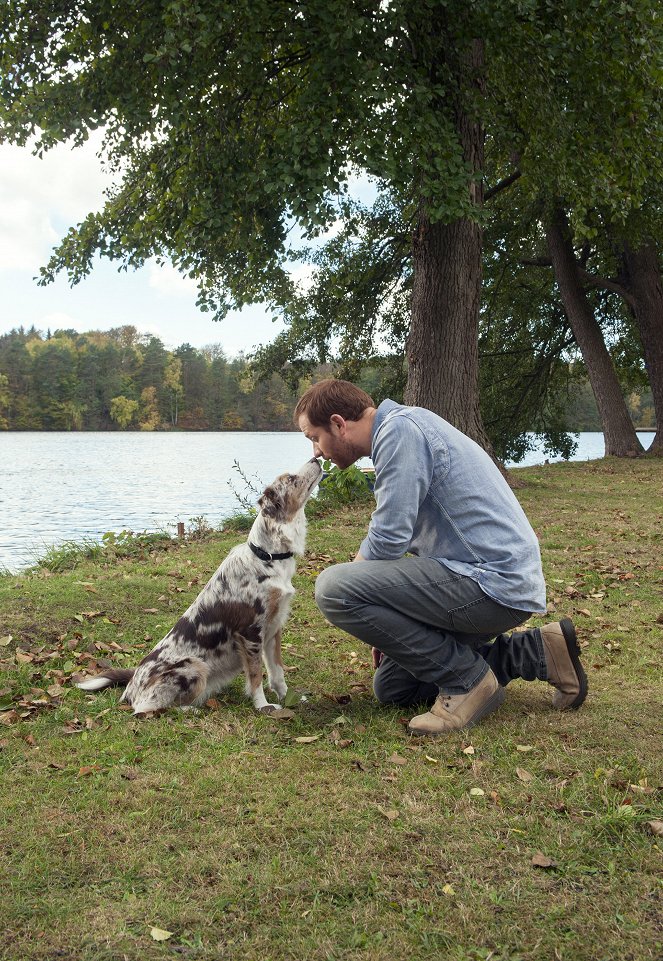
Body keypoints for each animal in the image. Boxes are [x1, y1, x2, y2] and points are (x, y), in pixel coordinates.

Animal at [76, 458, 324, 712]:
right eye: (291, 479)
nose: (316, 458)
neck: (268, 556)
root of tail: (131, 684)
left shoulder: (273, 628)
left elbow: (277, 672)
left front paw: (288, 697)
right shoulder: (251, 633)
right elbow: (256, 677)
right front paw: (263, 707)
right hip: (194, 666)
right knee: (149, 709)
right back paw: (192, 709)